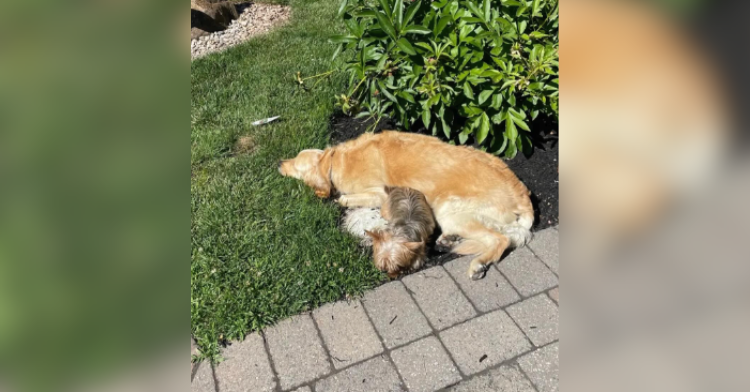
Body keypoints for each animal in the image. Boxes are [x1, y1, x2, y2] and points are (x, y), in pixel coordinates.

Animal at [278, 132, 536, 278]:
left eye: (295, 163)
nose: (280, 163)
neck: (335, 160)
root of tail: (523, 196)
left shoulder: (379, 193)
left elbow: (343, 198)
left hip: (449, 209)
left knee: (500, 240)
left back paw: (479, 264)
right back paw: (448, 241)